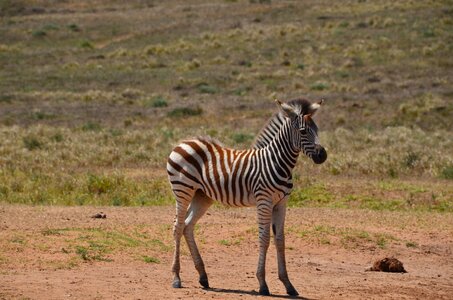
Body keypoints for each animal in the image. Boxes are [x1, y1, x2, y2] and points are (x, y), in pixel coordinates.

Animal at [166, 98, 324, 296]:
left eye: (317, 129)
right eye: (303, 131)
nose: (323, 155)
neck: (277, 162)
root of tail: (184, 142)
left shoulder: (281, 203)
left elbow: (280, 240)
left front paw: (288, 285)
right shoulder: (264, 201)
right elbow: (264, 239)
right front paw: (262, 284)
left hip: (202, 196)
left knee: (187, 226)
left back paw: (203, 277)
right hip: (183, 190)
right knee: (178, 227)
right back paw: (176, 277)